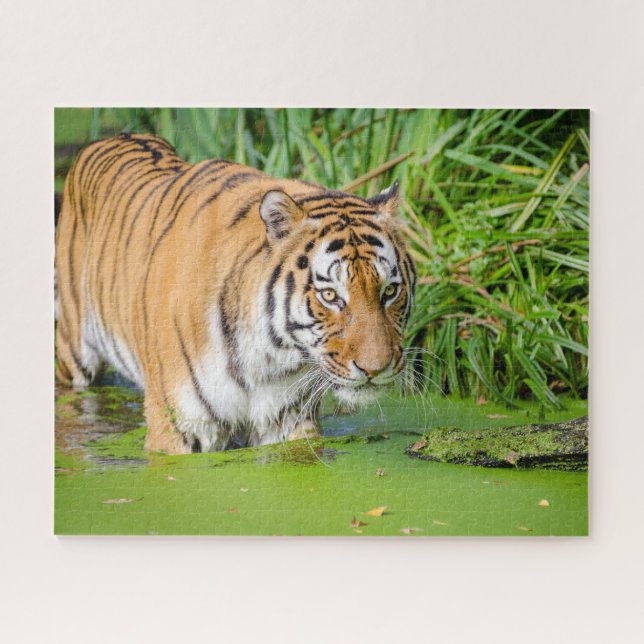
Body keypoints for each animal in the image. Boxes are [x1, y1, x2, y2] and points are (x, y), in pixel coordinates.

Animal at [55, 133, 416, 454]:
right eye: (329, 296)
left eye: (390, 290)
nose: (375, 370)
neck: (269, 356)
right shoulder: (178, 425)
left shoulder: (286, 420)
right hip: (74, 357)